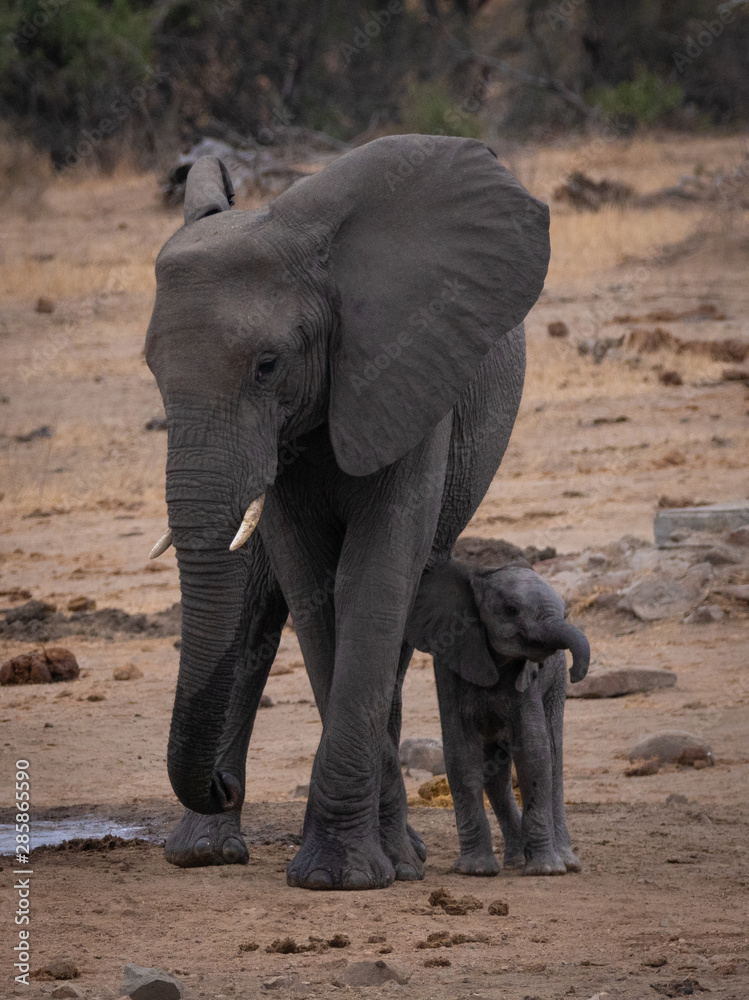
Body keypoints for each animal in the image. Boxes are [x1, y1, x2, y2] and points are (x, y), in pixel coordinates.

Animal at [145, 134, 550, 889]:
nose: (223, 785)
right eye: (153, 371)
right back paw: (203, 852)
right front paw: (359, 865)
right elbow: (310, 586)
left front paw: (346, 874)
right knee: (253, 613)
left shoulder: (407, 369)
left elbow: (373, 577)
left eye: (268, 365)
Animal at [405, 559, 589, 876]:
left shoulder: (528, 677)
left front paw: (546, 870)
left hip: (555, 685)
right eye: (511, 609)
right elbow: (461, 753)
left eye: (564, 610)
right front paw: (475, 871)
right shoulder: (449, 664)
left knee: (553, 756)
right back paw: (517, 860)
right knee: (494, 770)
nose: (576, 674)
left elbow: (534, 750)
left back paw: (564, 862)